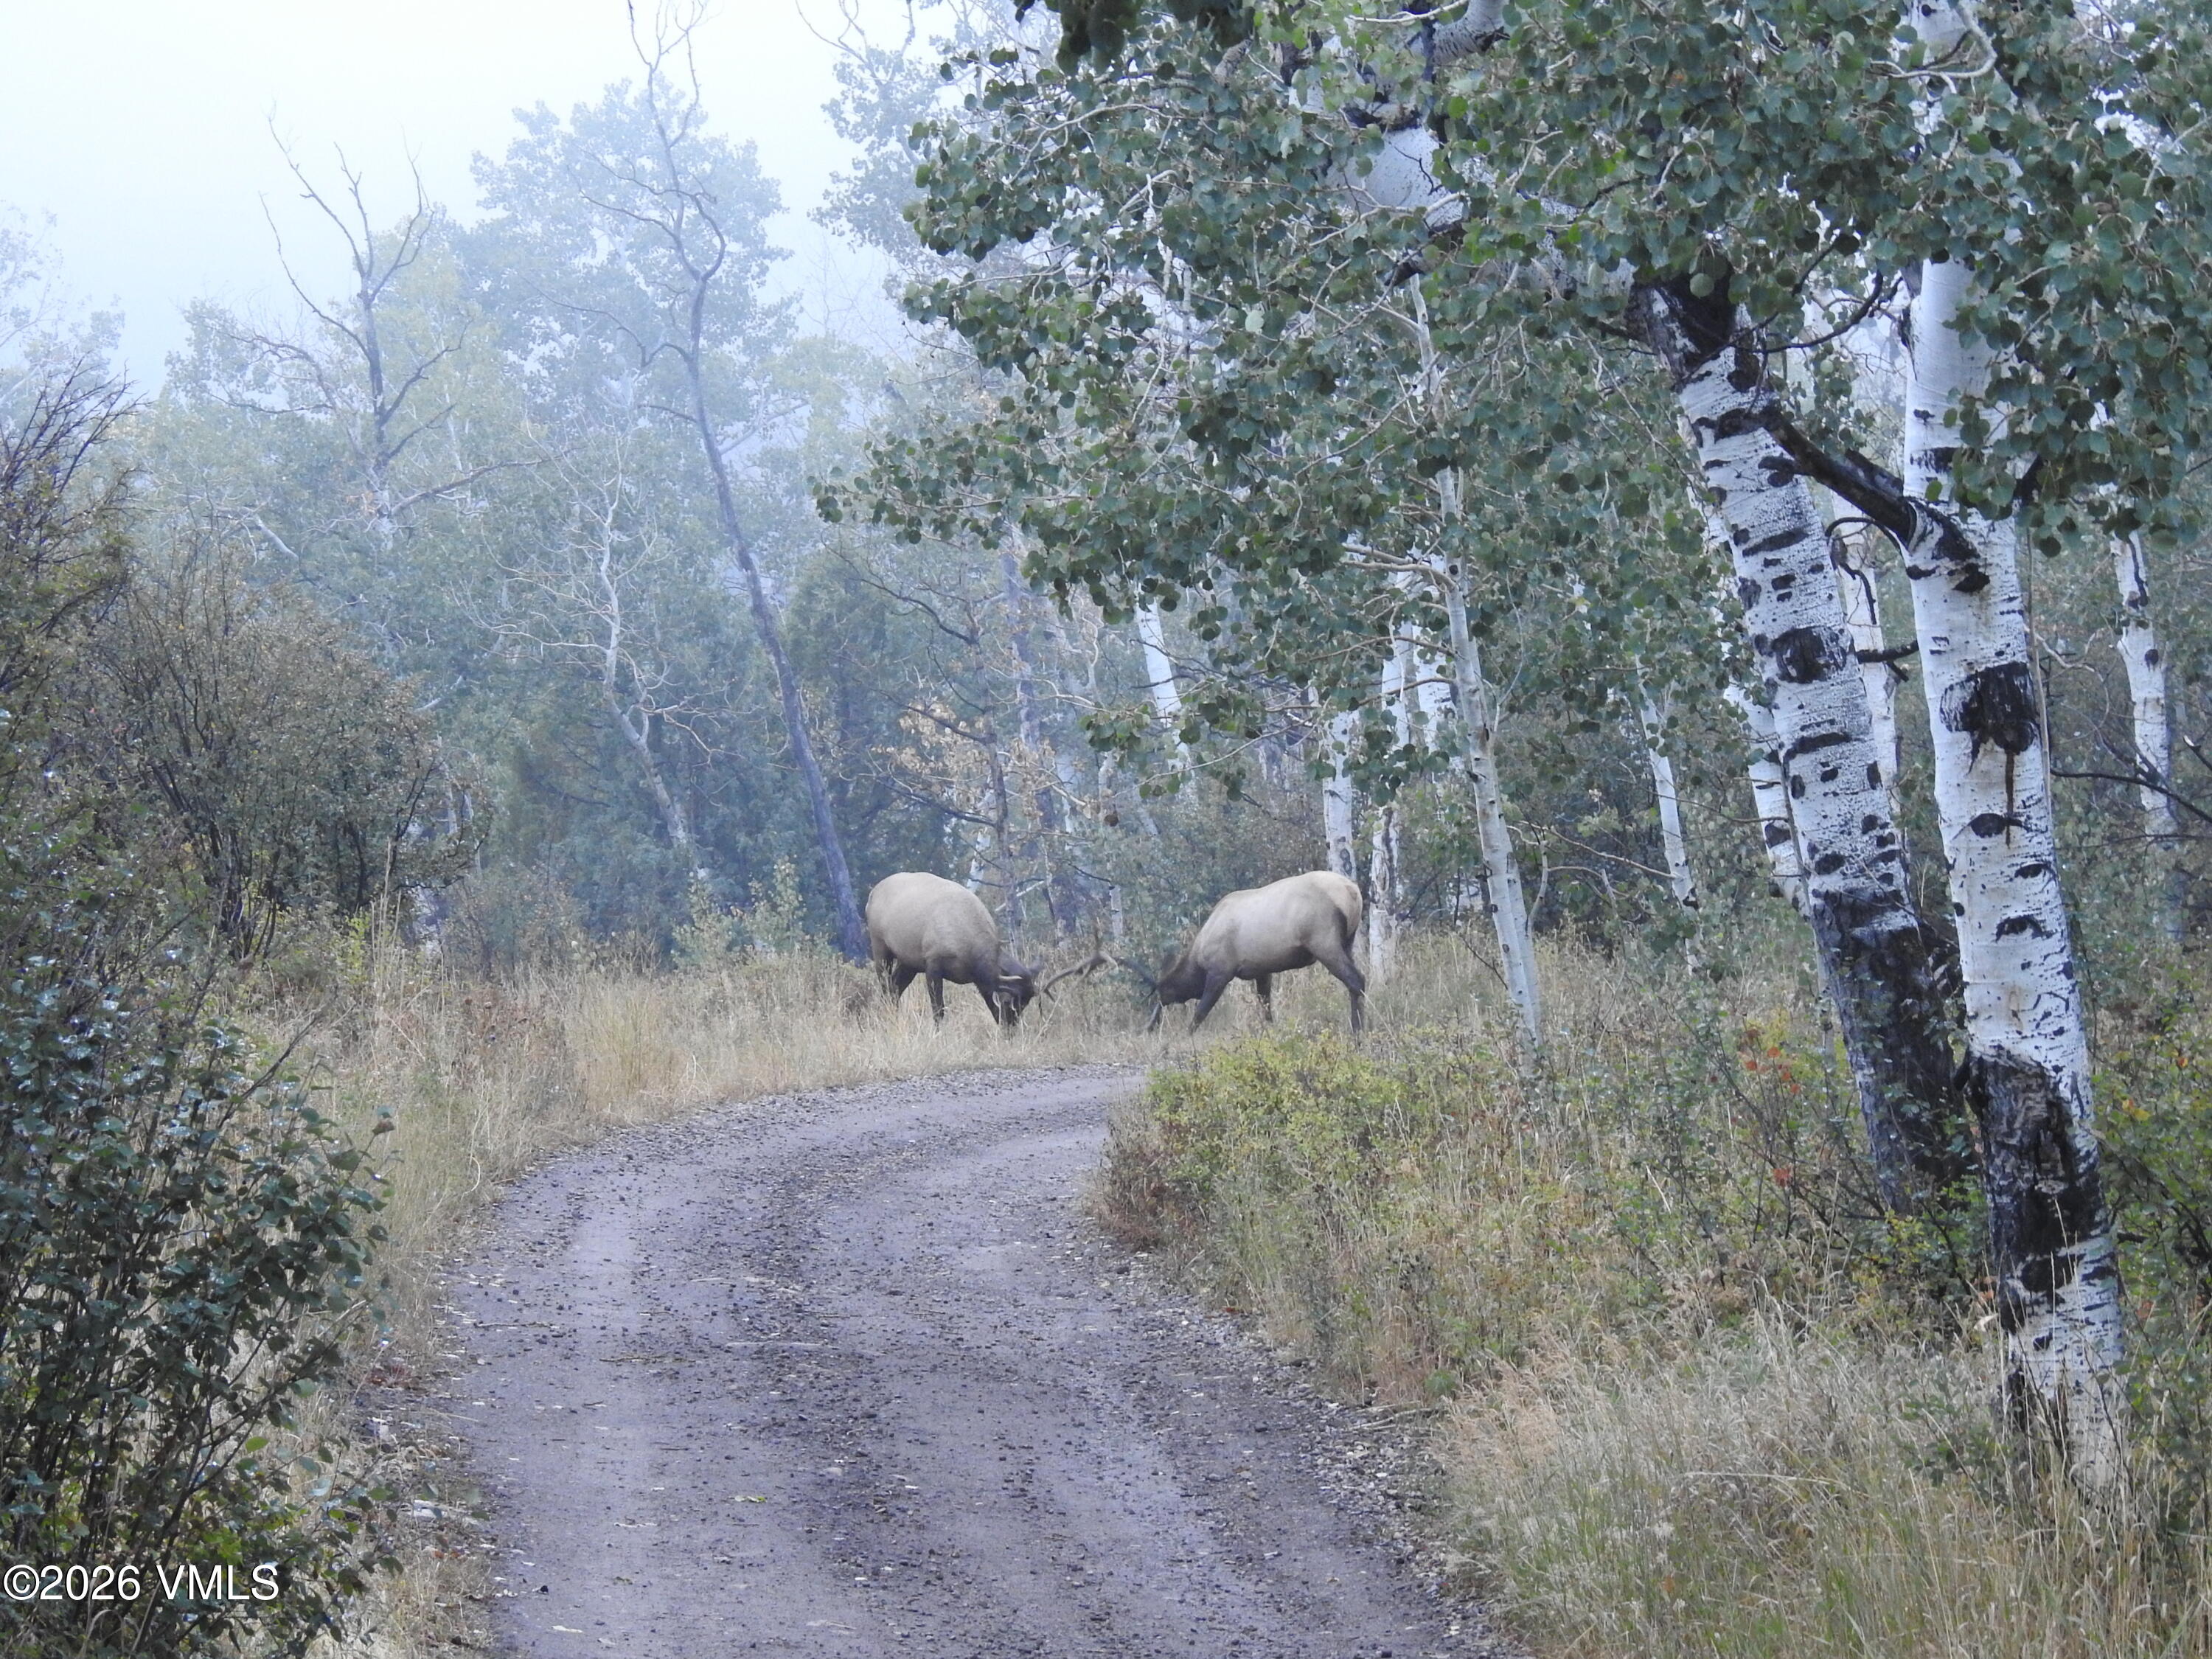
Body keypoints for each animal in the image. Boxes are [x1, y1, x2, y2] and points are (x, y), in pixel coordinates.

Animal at [1145, 870, 1366, 1033]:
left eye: (1163, 995)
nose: (1150, 1027)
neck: (1198, 956)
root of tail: (1353, 892)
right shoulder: (1262, 970)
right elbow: (1266, 1006)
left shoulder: (1221, 971)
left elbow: (1201, 1011)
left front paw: (1188, 1035)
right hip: (1347, 942)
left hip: (1324, 942)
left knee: (1357, 980)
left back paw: (1358, 1032)